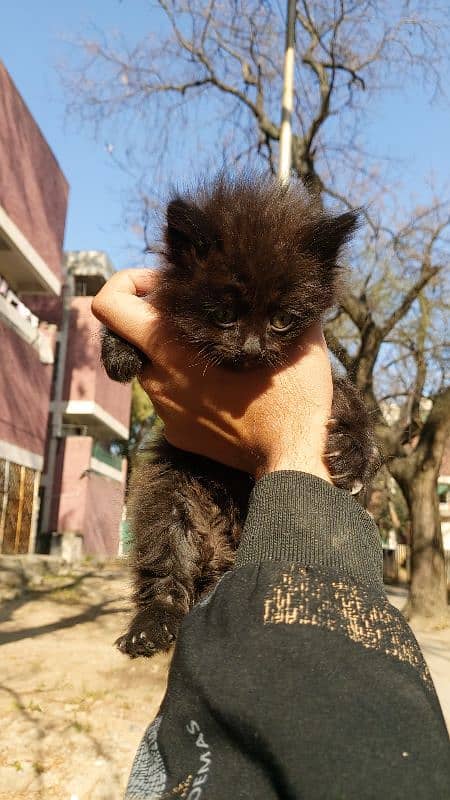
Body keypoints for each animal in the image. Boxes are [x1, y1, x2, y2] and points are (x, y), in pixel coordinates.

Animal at [101, 173, 380, 656]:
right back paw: (152, 624)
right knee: (166, 565)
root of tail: (222, 551)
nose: (251, 348)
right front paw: (118, 347)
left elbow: (346, 392)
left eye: (282, 319)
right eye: (223, 315)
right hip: (166, 491)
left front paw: (356, 448)